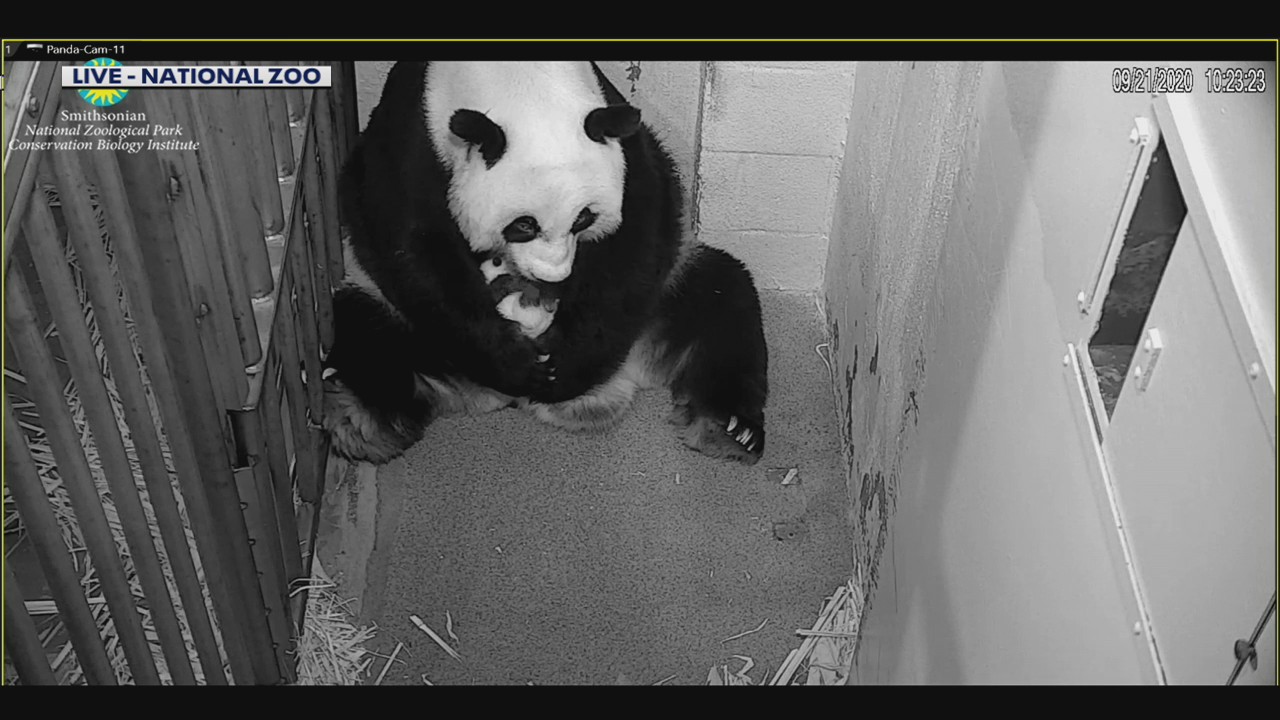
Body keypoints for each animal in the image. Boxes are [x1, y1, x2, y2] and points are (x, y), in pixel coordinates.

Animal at [323, 61, 769, 467]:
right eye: (524, 225)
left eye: (583, 219)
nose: (551, 278)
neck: (518, 82)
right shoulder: (412, 141)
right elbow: (410, 245)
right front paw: (518, 364)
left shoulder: (623, 145)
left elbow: (640, 230)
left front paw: (565, 364)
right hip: (398, 317)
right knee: (367, 333)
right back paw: (365, 426)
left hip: (667, 296)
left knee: (722, 301)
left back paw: (730, 429)